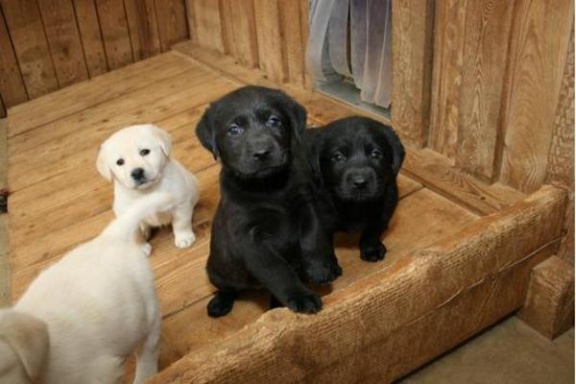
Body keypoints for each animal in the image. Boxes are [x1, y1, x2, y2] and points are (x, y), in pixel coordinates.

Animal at [195, 85, 338, 316]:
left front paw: (320, 268)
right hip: (216, 271)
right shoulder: (251, 238)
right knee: (229, 288)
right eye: (234, 129)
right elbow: (278, 271)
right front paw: (302, 296)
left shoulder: (305, 204)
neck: (270, 188)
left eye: (274, 121)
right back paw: (220, 303)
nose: (262, 152)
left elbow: (313, 236)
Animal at [306, 115, 404, 262]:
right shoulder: (321, 214)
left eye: (376, 154)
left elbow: (373, 230)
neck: (356, 205)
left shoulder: (387, 203)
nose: (360, 183)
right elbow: (322, 244)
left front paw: (371, 249)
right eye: (338, 156)